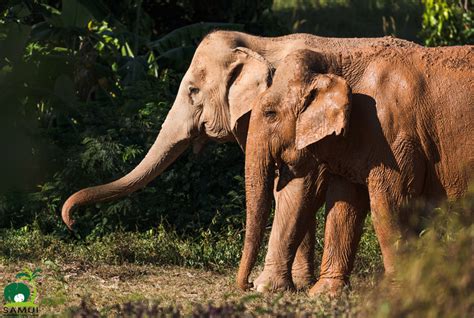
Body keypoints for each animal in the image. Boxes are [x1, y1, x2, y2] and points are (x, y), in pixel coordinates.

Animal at [61, 31, 406, 294]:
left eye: (193, 91)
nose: (71, 222)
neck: (260, 42)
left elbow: (297, 188)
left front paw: (270, 288)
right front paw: (298, 286)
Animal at [243, 47, 472, 296]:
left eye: (270, 113)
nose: (247, 285)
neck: (339, 58)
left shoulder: (393, 139)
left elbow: (389, 206)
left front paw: (397, 292)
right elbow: (344, 206)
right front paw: (324, 293)